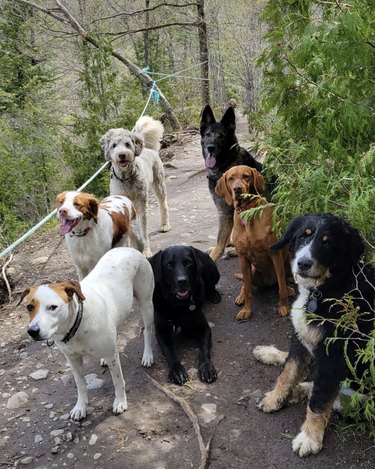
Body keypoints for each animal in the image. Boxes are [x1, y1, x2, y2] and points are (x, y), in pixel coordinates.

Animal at [18, 247, 154, 418]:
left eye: (53, 307)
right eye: (29, 307)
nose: (32, 331)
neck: (77, 324)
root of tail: (127, 248)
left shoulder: (112, 357)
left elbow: (118, 381)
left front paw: (120, 402)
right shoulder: (73, 360)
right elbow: (81, 385)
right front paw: (80, 407)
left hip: (146, 304)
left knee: (148, 330)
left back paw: (148, 355)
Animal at [100, 115, 170, 258]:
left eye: (127, 144)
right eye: (113, 146)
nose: (122, 155)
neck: (126, 178)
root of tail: (148, 148)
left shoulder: (142, 203)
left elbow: (143, 229)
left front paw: (146, 251)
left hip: (159, 184)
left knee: (163, 204)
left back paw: (165, 225)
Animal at [216, 164, 292, 318]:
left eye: (246, 176)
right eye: (231, 178)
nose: (237, 189)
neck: (247, 211)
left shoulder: (275, 255)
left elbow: (281, 287)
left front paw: (283, 307)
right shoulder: (243, 259)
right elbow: (248, 291)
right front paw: (247, 310)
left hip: (288, 264)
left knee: (283, 282)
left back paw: (289, 289)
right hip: (252, 271)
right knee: (245, 285)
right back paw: (241, 297)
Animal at [254, 214, 374, 456]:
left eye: (327, 243)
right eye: (303, 236)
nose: (303, 264)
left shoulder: (333, 355)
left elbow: (319, 399)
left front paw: (309, 437)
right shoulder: (302, 336)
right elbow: (288, 372)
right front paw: (274, 398)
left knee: (341, 398)